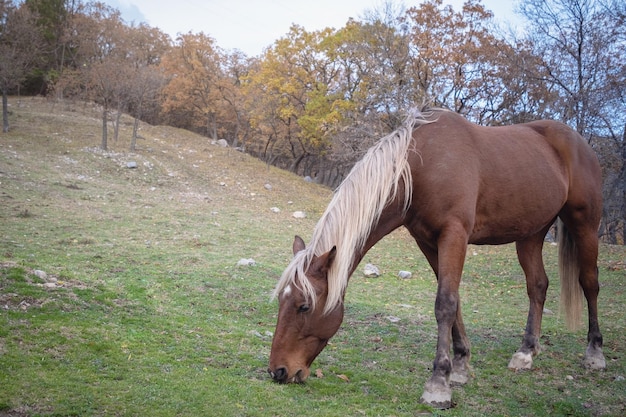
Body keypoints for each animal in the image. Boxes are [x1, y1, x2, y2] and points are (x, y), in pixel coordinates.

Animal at [266, 109, 604, 408]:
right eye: (282, 301)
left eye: (304, 306)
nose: (278, 371)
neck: (421, 166)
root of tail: (578, 140)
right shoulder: (428, 242)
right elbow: (455, 302)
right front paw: (460, 366)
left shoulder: (454, 235)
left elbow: (445, 304)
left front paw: (438, 384)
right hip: (531, 234)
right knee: (538, 286)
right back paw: (526, 352)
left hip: (585, 224)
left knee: (589, 284)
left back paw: (595, 353)